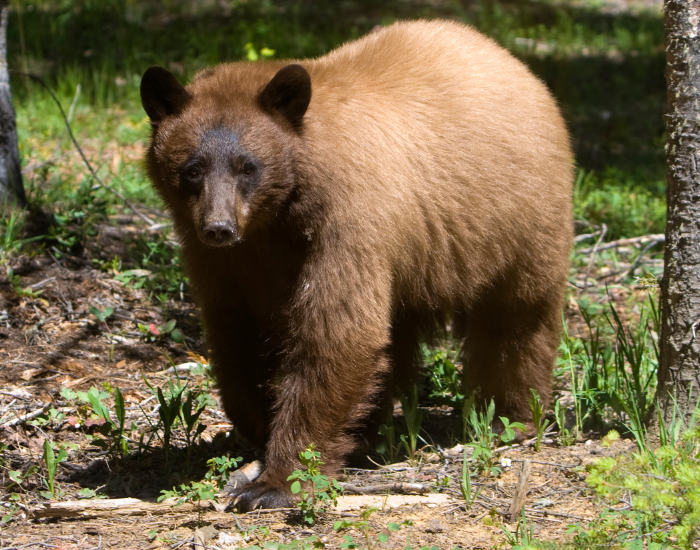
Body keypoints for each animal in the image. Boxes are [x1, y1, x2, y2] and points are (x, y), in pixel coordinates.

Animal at [140, 19, 573, 511]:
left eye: (247, 166)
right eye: (193, 168)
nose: (219, 227)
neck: (279, 217)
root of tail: (513, 62)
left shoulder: (348, 220)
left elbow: (338, 333)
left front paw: (275, 481)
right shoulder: (227, 262)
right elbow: (237, 334)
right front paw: (258, 425)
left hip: (519, 218)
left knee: (516, 318)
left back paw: (508, 419)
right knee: (396, 337)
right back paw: (369, 433)